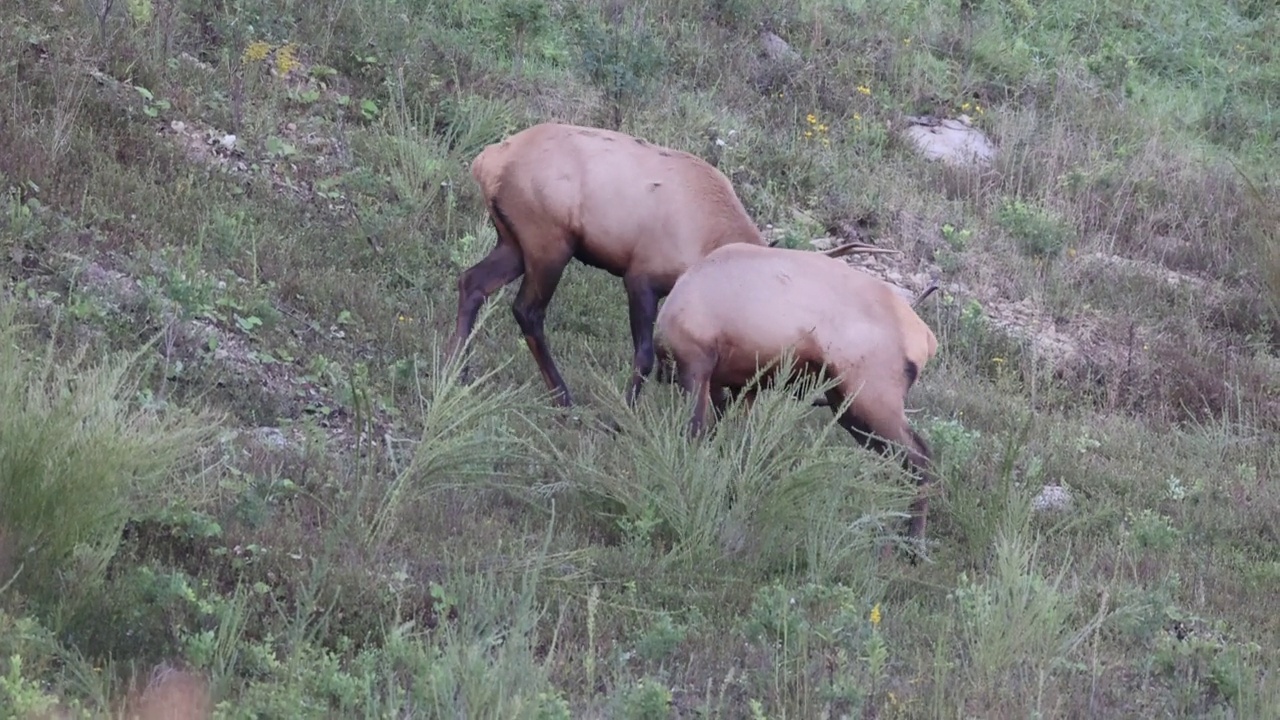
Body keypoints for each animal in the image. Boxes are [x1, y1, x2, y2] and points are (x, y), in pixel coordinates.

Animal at [445, 120, 896, 407]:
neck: (707, 240)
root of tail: (487, 160)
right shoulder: (640, 277)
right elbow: (645, 356)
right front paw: (624, 413)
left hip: (513, 241)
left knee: (472, 282)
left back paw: (456, 372)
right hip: (549, 242)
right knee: (527, 310)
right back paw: (562, 397)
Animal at [655, 240, 936, 543]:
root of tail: (927, 340)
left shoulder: (696, 364)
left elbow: (696, 436)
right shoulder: (737, 384)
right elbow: (733, 444)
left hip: (871, 397)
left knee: (920, 456)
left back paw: (913, 542)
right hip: (846, 406)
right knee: (901, 461)